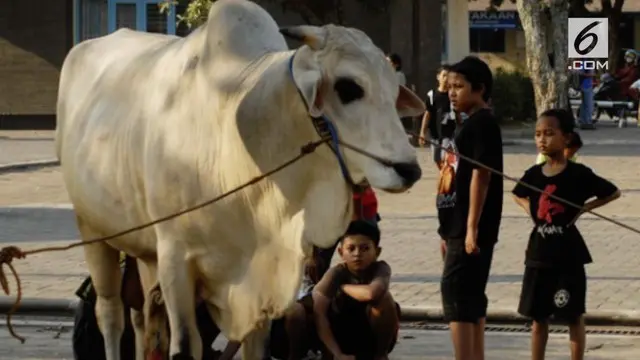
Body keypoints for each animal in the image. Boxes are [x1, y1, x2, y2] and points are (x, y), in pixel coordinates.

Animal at [55, 0, 424, 358]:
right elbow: (185, 344)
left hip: (142, 249)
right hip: (93, 230)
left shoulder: (258, 285)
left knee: (143, 315)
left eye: (394, 92)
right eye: (348, 87)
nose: (409, 169)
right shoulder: (175, 257)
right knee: (111, 314)